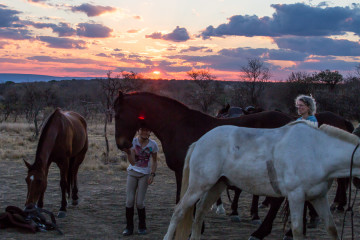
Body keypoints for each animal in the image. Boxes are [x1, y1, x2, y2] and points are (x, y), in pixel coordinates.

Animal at [164, 122, 360, 240]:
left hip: (217, 185)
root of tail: (200, 141)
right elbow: (297, 231)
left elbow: (332, 229)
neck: (317, 151)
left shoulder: (318, 197)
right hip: (199, 185)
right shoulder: (296, 196)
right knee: (179, 211)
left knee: (199, 214)